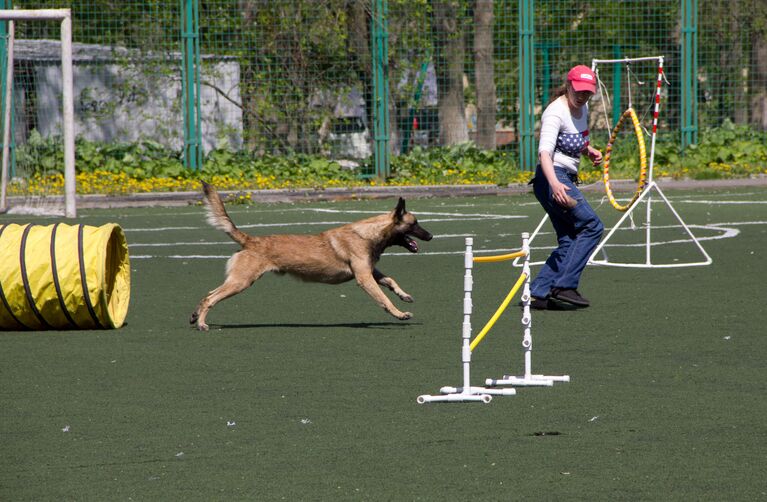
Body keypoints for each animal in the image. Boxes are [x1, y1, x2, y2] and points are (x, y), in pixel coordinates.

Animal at [189, 182, 432, 332]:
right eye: (415, 223)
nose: (431, 236)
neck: (368, 234)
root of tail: (250, 240)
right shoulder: (364, 278)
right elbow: (384, 300)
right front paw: (399, 314)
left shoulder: (371, 271)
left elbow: (390, 281)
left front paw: (404, 295)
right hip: (241, 282)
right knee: (211, 298)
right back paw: (201, 323)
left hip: (236, 280)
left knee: (207, 295)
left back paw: (195, 316)